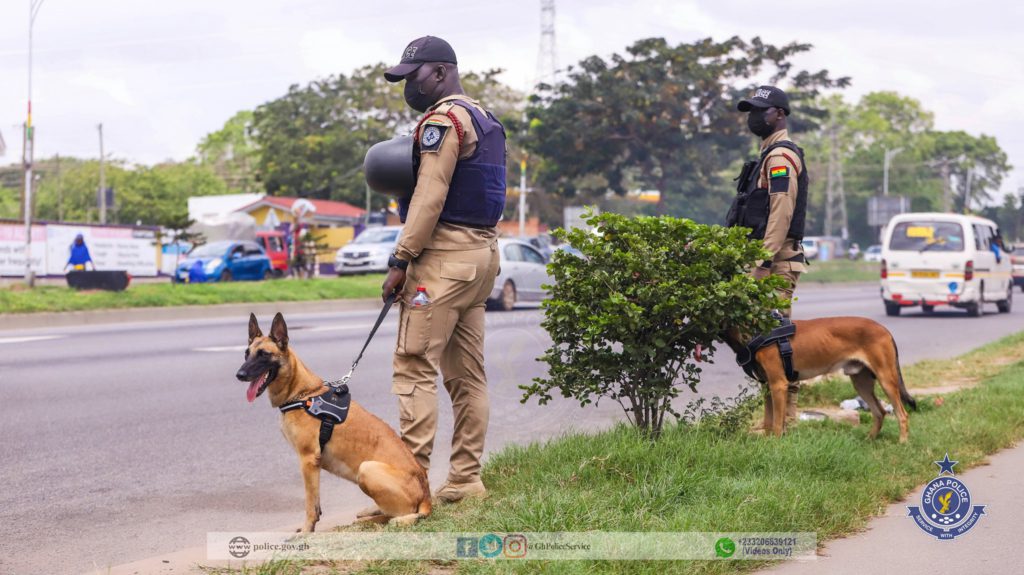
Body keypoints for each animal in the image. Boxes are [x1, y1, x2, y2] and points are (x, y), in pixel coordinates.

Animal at [236, 313, 432, 527]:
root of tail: (426, 495)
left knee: (395, 515)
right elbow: (316, 503)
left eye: (263, 354)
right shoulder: (314, 464)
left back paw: (369, 520)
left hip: (366, 469)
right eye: (247, 353)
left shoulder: (308, 460)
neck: (302, 394)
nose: (239, 375)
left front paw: (306, 531)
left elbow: (309, 505)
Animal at [720, 315, 921, 439]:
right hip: (861, 383)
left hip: (886, 379)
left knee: (902, 414)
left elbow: (777, 423)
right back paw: (869, 439)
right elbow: (770, 421)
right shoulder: (768, 386)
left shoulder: (778, 385)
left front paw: (775, 444)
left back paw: (902, 443)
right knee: (879, 412)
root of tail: (884, 329)